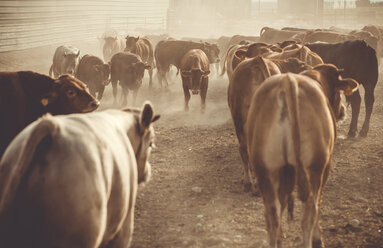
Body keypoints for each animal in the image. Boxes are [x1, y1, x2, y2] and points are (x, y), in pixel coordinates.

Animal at [246, 66, 360, 248]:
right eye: (339, 93)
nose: (343, 110)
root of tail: (287, 80)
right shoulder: (326, 167)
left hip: (266, 171)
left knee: (272, 215)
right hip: (314, 169)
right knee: (309, 214)